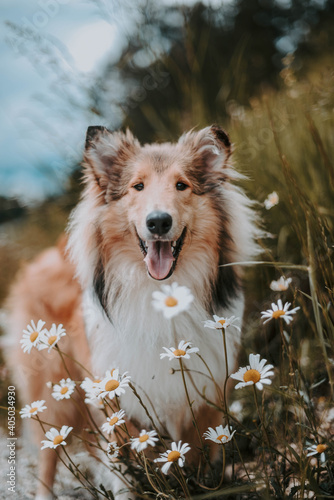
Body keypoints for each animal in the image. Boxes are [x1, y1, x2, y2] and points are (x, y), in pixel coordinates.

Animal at [5, 124, 260, 496]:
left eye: (181, 185)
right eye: (137, 186)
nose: (158, 222)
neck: (160, 294)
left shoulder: (208, 393)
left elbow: (197, 455)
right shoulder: (117, 397)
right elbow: (129, 466)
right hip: (52, 394)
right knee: (48, 457)